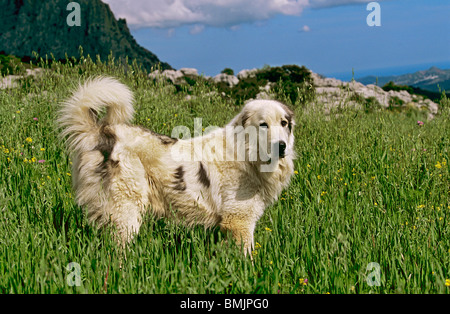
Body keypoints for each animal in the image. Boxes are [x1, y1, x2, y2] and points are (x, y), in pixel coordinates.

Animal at [59, 76, 296, 255]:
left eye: (284, 123)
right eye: (263, 125)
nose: (281, 146)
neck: (246, 154)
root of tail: (103, 132)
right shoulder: (239, 221)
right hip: (126, 210)